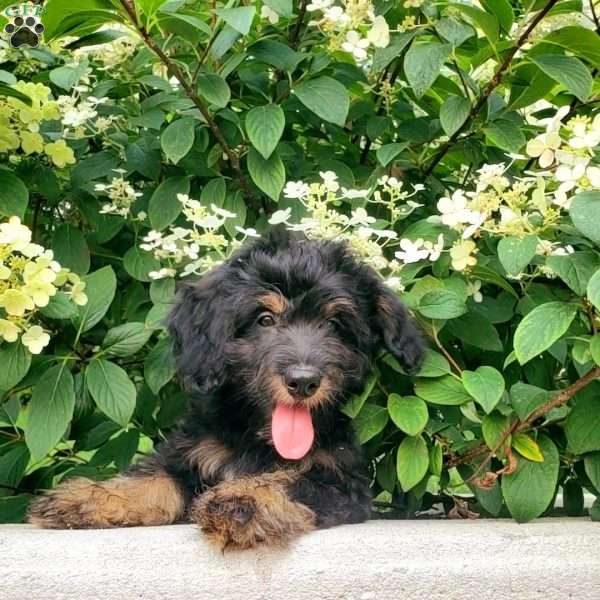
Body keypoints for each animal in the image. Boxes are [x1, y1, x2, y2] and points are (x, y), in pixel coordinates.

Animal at [28, 232, 422, 552]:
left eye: (335, 325)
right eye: (265, 319)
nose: (303, 381)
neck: (259, 439)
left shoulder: (342, 480)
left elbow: (294, 480)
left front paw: (244, 499)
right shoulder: (191, 454)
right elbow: (155, 480)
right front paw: (90, 497)